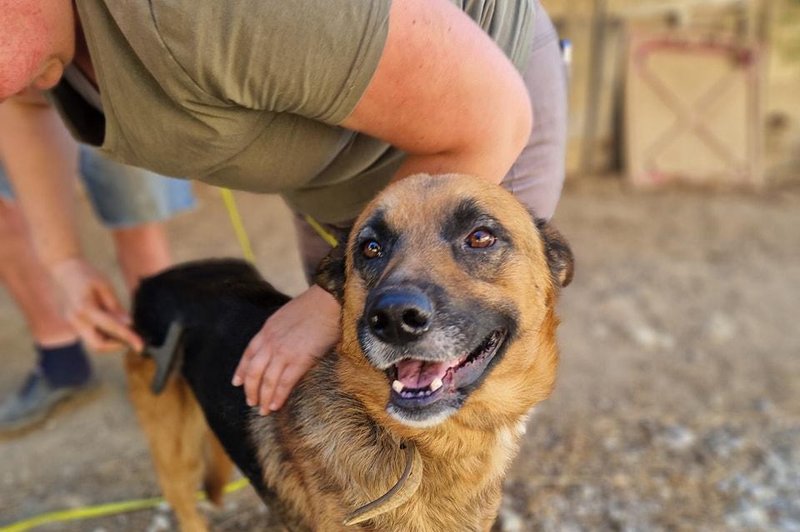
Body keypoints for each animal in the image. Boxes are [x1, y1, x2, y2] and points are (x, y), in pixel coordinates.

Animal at [128, 174, 572, 528]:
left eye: (480, 237)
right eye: (371, 247)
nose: (393, 318)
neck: (424, 444)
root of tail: (156, 279)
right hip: (175, 455)